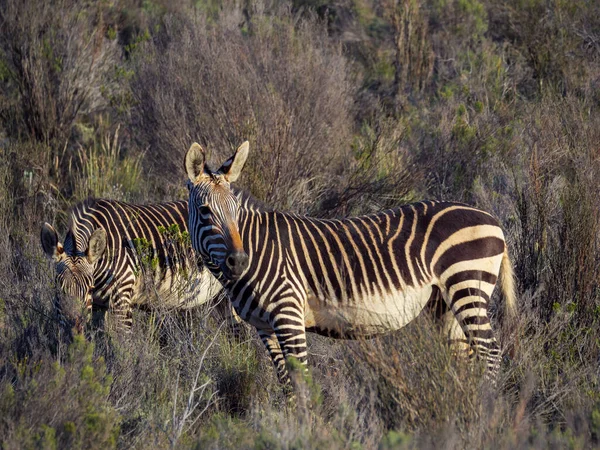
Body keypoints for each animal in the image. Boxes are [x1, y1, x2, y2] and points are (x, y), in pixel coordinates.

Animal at [41, 197, 225, 330]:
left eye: (89, 289)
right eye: (58, 290)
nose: (73, 331)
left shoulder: (122, 299)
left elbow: (123, 347)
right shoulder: (98, 306)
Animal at [183, 142, 516, 386]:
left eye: (235, 211)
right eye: (205, 211)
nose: (238, 261)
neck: (259, 247)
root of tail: (491, 218)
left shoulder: (289, 315)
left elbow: (302, 383)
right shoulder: (265, 328)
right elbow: (286, 384)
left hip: (467, 287)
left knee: (490, 353)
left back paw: (485, 408)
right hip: (443, 303)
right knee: (467, 358)